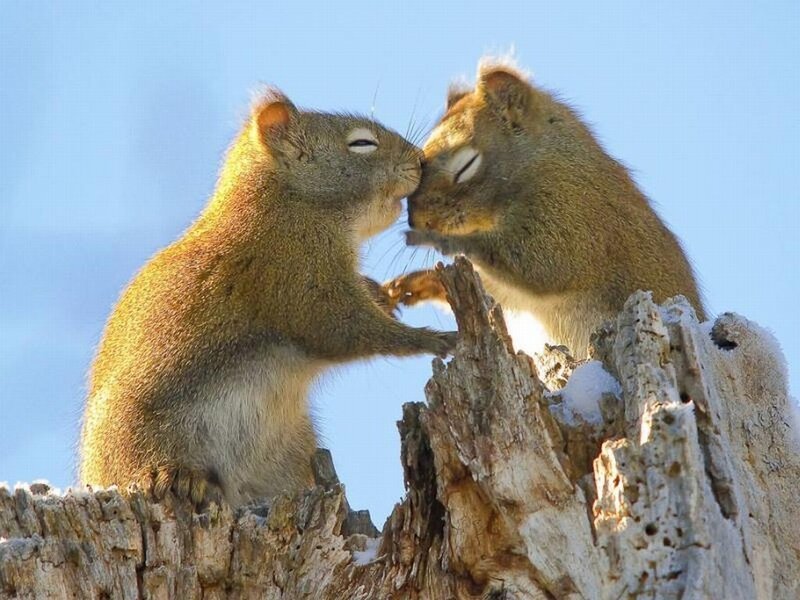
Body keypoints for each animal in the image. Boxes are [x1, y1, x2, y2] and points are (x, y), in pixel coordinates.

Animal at [79, 88, 456, 508]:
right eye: (361, 143)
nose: (420, 160)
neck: (288, 203)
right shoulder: (299, 279)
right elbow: (347, 330)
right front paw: (432, 338)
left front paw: (382, 291)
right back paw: (177, 477)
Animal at [387, 58, 705, 357]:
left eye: (466, 165)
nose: (416, 220)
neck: (543, 160)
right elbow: (505, 293)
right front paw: (418, 283)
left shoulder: (575, 213)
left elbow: (542, 266)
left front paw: (439, 240)